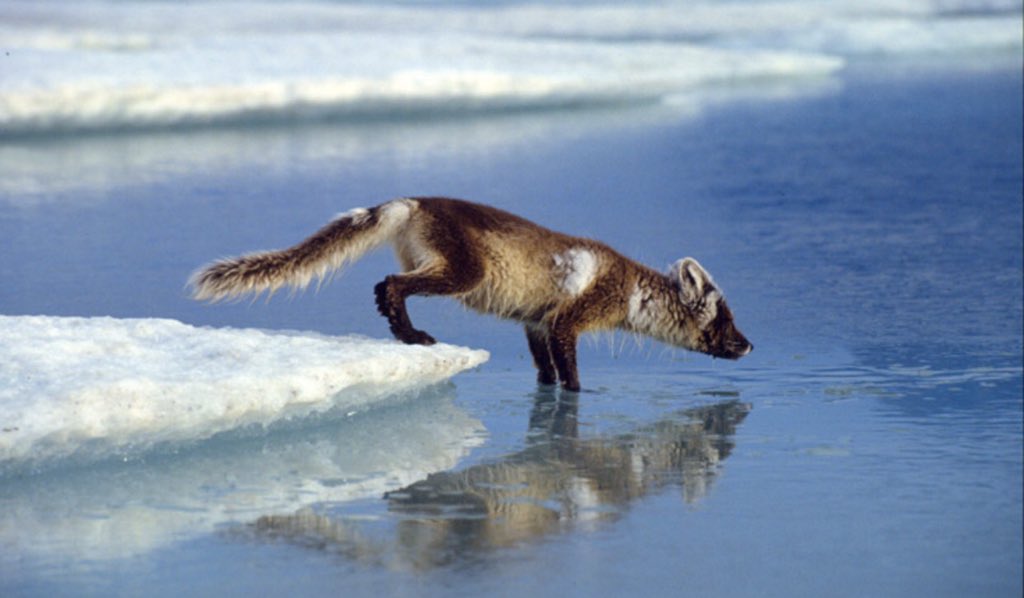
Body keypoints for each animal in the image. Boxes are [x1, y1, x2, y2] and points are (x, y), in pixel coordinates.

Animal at [190, 197, 752, 391]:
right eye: (724, 320)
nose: (749, 345)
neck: (632, 289)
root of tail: (412, 202)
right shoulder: (570, 318)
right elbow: (570, 373)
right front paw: (580, 396)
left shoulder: (536, 323)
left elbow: (546, 371)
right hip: (463, 271)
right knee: (388, 285)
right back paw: (411, 335)